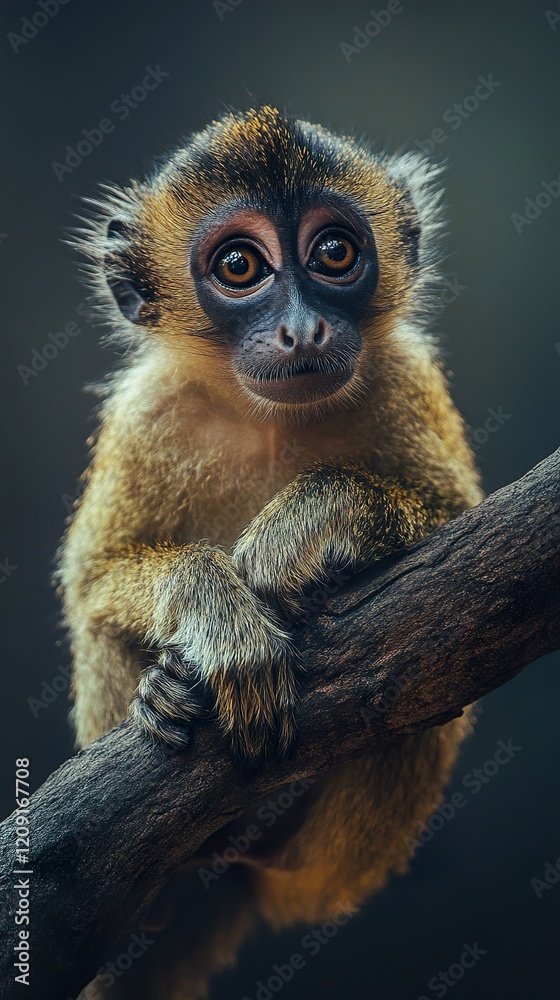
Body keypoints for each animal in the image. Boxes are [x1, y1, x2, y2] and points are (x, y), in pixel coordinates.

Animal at [57, 106, 483, 999]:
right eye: (240, 267)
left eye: (334, 254)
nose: (302, 328)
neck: (270, 422)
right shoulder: (148, 414)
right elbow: (93, 583)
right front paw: (218, 615)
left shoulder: (407, 381)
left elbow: (468, 537)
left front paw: (307, 535)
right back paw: (165, 698)